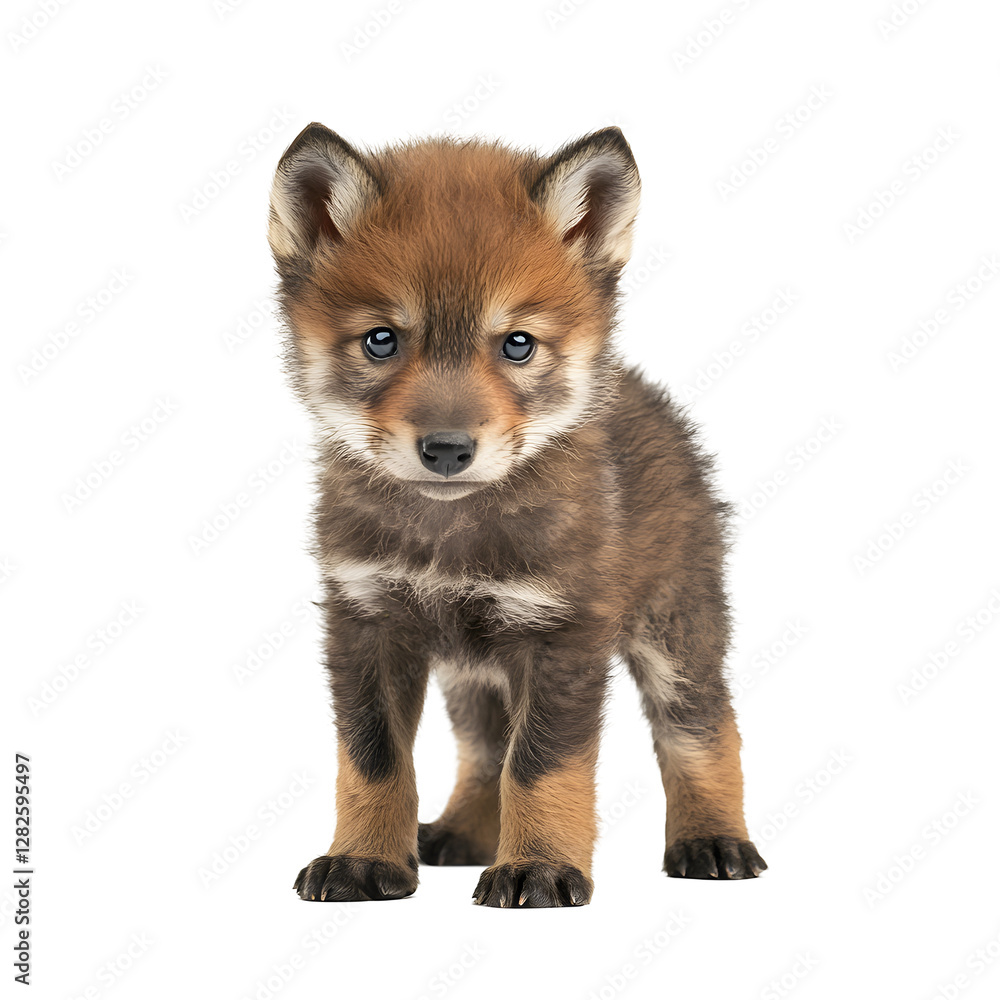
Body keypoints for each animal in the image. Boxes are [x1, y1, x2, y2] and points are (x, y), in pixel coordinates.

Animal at [267, 122, 767, 908]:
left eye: (517, 343)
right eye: (382, 339)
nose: (447, 448)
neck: (449, 536)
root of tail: (647, 394)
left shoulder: (564, 632)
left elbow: (541, 766)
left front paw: (538, 867)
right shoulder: (366, 621)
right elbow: (376, 762)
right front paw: (363, 860)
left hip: (675, 628)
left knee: (705, 730)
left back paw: (713, 841)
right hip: (474, 669)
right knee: (483, 750)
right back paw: (462, 833)